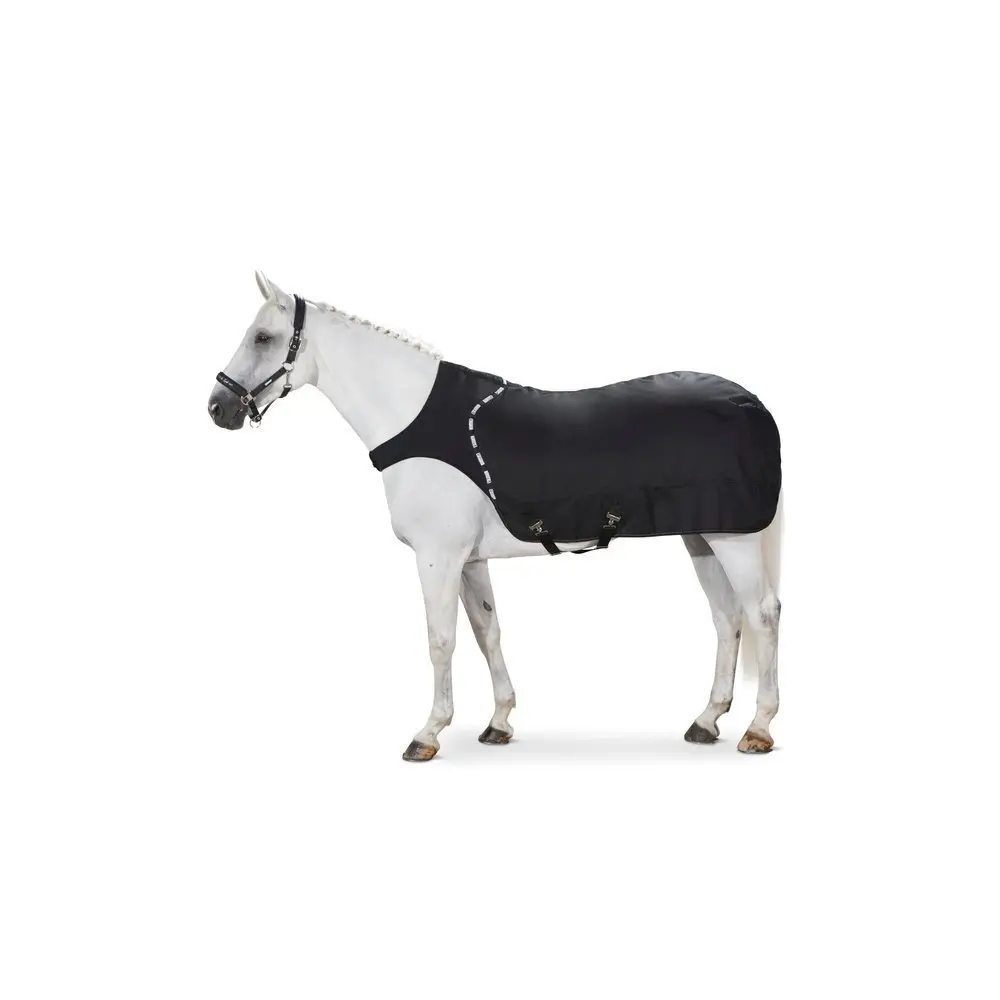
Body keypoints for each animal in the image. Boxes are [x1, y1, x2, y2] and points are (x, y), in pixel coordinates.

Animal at [207, 272, 783, 762]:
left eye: (262, 337)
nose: (217, 409)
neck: (413, 417)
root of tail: (751, 403)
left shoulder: (437, 558)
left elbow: (441, 639)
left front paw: (428, 733)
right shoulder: (469, 560)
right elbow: (488, 632)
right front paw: (499, 722)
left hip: (732, 539)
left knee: (762, 614)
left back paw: (757, 729)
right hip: (702, 537)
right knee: (726, 618)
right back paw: (706, 721)